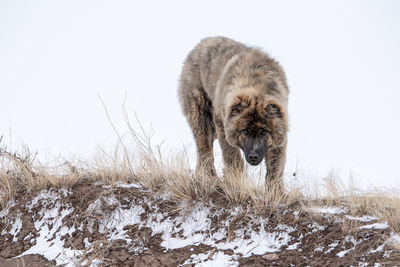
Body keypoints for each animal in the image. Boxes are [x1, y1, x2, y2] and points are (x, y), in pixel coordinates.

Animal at [178, 36, 288, 189]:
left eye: (264, 132)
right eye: (244, 131)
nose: (253, 156)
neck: (255, 85)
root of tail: (200, 44)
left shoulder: (280, 138)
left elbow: (275, 167)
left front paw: (275, 192)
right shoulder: (222, 126)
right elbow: (233, 157)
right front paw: (236, 181)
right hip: (201, 117)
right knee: (204, 149)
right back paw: (208, 178)